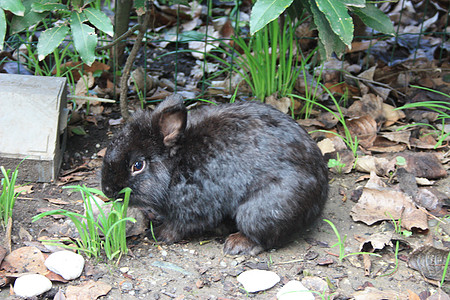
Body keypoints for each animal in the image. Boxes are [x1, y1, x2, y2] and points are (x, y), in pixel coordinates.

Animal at [101, 95, 326, 254]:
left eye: (138, 165)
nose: (107, 190)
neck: (174, 168)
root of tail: (321, 196)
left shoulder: (193, 208)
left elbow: (178, 227)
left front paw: (158, 234)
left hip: (262, 209)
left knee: (265, 236)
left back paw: (236, 244)